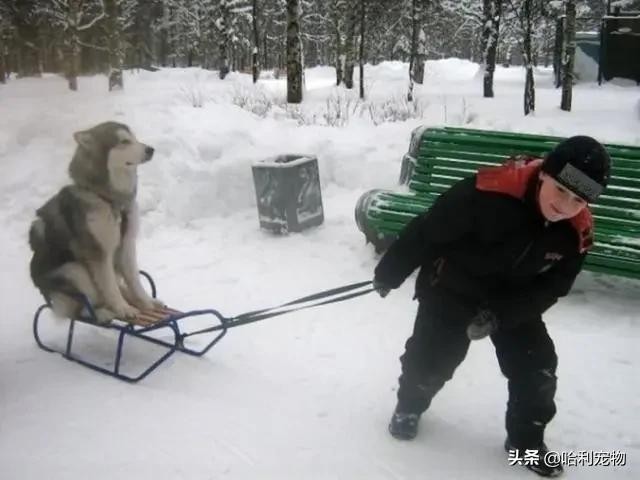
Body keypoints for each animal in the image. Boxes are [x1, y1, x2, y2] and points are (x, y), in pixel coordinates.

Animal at [29, 121, 163, 323]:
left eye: (135, 138)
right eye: (124, 141)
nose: (151, 149)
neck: (110, 200)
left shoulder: (127, 244)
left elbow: (134, 280)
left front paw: (146, 302)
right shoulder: (99, 253)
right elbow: (110, 287)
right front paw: (123, 308)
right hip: (76, 271)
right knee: (81, 309)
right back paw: (102, 312)